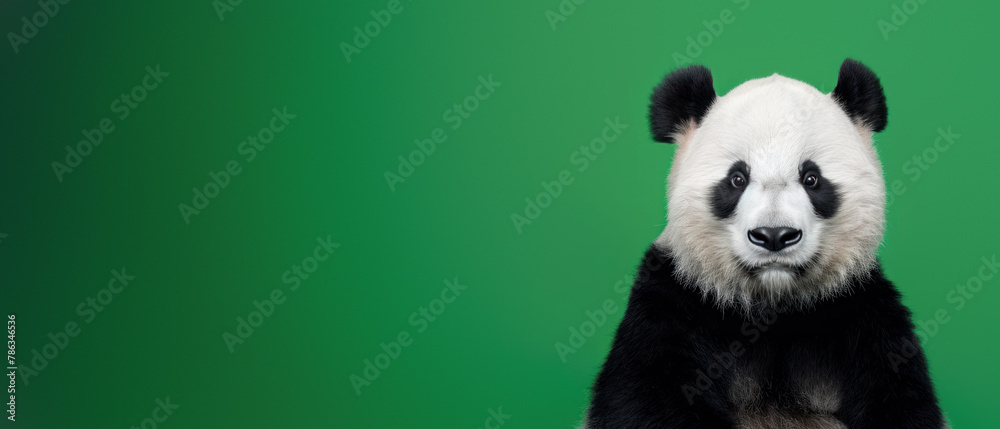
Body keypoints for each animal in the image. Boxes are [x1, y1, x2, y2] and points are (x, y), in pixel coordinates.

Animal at [582, 59, 946, 428]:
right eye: (737, 178)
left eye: (811, 178)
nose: (774, 236)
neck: (772, 304)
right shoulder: (673, 299)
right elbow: (646, 397)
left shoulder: (861, 312)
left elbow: (902, 399)